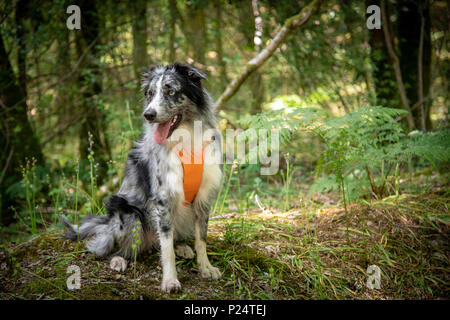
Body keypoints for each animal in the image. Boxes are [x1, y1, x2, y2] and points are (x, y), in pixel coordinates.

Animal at [62, 62, 224, 292]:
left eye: (170, 91)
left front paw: (206, 267)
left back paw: (182, 247)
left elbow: (201, 239)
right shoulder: (163, 199)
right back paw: (119, 259)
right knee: (114, 248)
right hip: (129, 214)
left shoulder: (203, 197)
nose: (148, 114)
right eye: (150, 93)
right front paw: (170, 280)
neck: (185, 140)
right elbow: (166, 248)